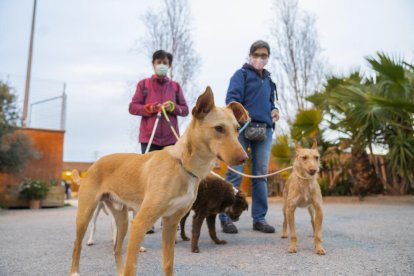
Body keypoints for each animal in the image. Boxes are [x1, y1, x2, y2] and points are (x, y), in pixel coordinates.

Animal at [70, 87, 249, 276]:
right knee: (77, 246)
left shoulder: (171, 223)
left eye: (237, 129)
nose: (244, 158)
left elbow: (168, 263)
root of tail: (93, 165)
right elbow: (131, 267)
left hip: (122, 220)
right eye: (219, 128)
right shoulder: (140, 224)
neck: (183, 165)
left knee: (116, 249)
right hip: (86, 215)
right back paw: (74, 271)